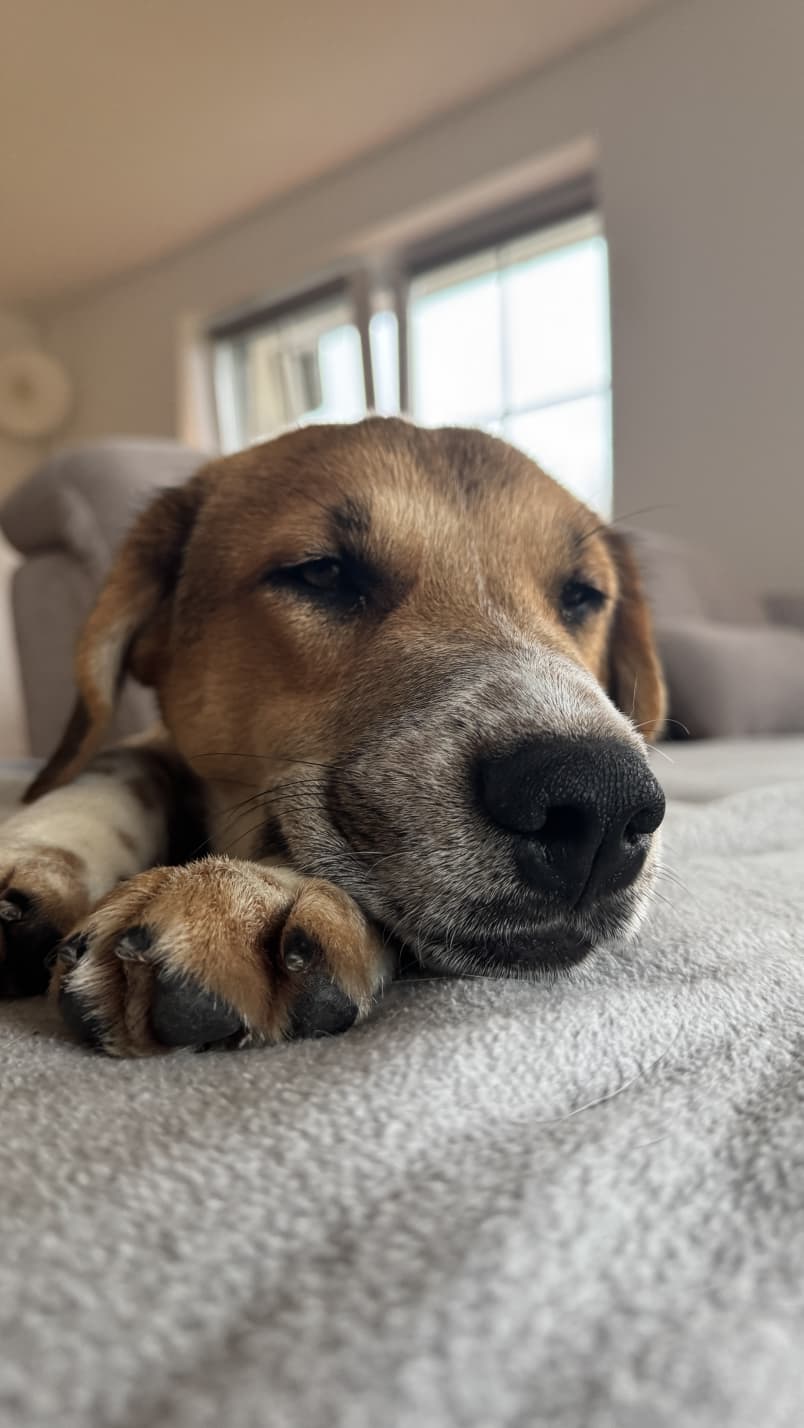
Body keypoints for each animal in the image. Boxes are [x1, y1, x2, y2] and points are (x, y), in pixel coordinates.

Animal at [0, 418, 666, 1055]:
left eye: (582, 595)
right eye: (322, 573)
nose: (601, 801)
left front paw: (252, 893)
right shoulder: (153, 741)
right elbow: (115, 766)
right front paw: (40, 848)